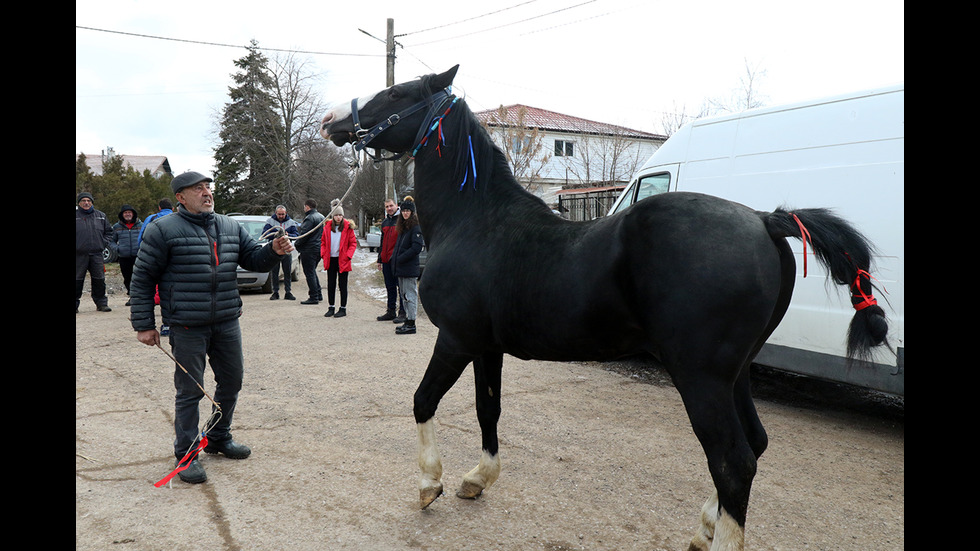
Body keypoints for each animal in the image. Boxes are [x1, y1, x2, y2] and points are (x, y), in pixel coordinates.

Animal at [322, 67, 888, 548]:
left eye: (396, 92)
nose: (332, 121)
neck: (477, 219)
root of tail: (765, 220)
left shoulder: (456, 338)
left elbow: (423, 400)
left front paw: (429, 483)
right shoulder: (487, 347)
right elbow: (488, 409)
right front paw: (477, 478)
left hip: (701, 378)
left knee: (733, 461)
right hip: (737, 374)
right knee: (754, 445)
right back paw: (705, 526)